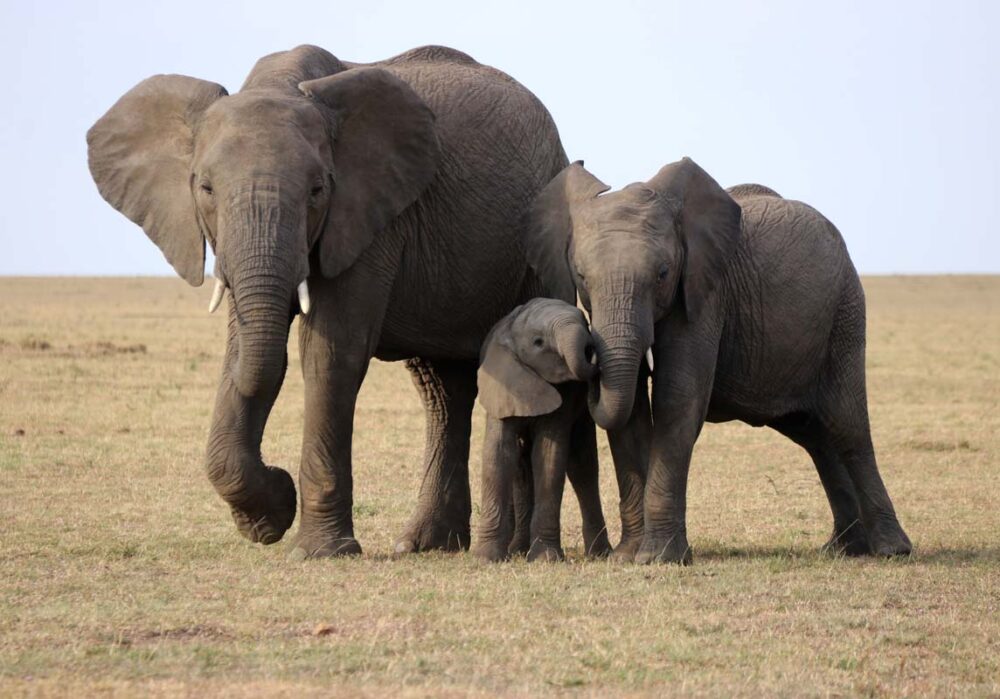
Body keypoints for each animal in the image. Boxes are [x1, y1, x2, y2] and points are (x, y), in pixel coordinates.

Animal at [89, 45, 568, 556]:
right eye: (206, 188)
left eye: (318, 189)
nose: (277, 481)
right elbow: (245, 349)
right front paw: (266, 520)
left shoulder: (370, 216)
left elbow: (330, 351)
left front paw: (315, 548)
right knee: (442, 391)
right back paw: (424, 545)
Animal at [474, 300, 612, 564]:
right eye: (538, 342)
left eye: (584, 321)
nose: (592, 349)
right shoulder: (502, 385)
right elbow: (498, 454)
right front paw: (487, 558)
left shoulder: (567, 394)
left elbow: (549, 456)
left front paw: (546, 559)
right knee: (521, 467)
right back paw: (517, 550)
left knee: (582, 466)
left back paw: (600, 554)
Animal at [524, 157, 916, 564]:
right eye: (581, 276)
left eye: (663, 274)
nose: (587, 356)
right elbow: (631, 411)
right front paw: (628, 557)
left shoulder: (706, 293)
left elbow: (676, 398)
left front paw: (658, 558)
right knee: (816, 436)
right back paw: (843, 548)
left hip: (845, 312)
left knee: (847, 425)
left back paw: (891, 550)